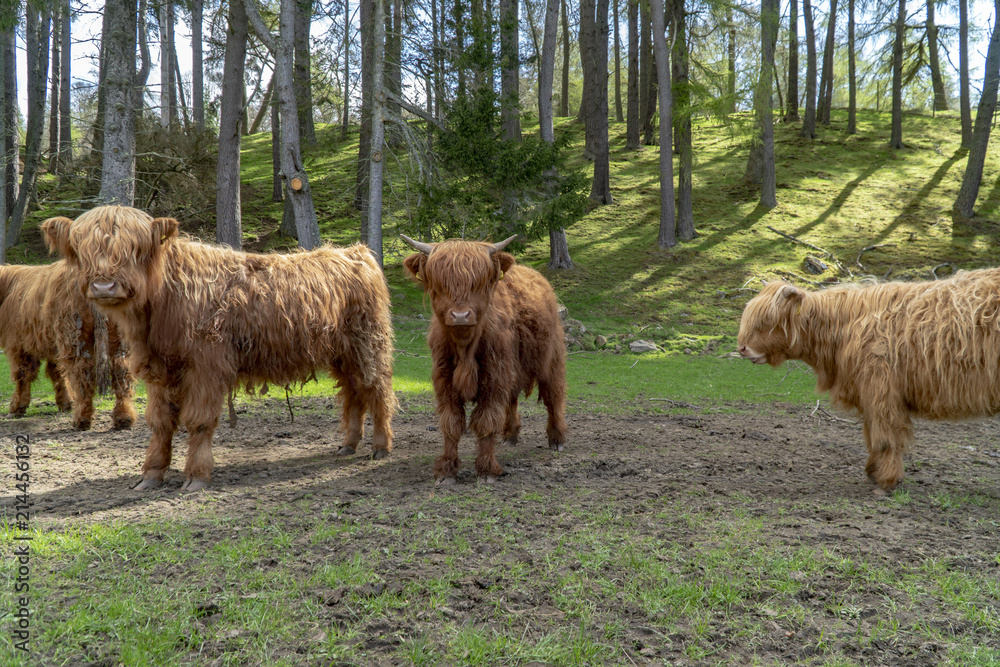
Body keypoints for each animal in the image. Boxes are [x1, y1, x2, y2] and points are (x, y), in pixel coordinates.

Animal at [0, 262, 136, 430]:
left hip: (74, 337)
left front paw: (17, 408)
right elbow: (58, 373)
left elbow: (22, 376)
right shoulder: (53, 349)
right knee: (121, 372)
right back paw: (124, 418)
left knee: (83, 373)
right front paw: (65, 403)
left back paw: (82, 419)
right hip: (119, 339)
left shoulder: (18, 346)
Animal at [43, 205, 397, 492]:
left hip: (368, 344)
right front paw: (151, 475)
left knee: (376, 389)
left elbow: (198, 421)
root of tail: (356, 252)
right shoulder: (158, 370)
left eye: (135, 249)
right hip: (342, 354)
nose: (104, 285)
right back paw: (348, 444)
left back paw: (381, 447)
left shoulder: (206, 366)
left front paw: (197, 477)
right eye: (82, 250)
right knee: (353, 393)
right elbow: (160, 422)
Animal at [401, 234, 567, 484]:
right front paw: (447, 471)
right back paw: (510, 435)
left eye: (478, 283)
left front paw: (487, 471)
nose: (460, 315)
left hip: (551, 359)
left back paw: (557, 440)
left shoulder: (494, 378)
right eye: (440, 283)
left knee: (553, 397)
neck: (465, 349)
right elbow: (451, 423)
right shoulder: (444, 380)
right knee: (512, 399)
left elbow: (486, 421)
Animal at [737, 272, 1000, 492]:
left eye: (765, 321)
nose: (741, 348)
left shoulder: (881, 391)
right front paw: (873, 471)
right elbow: (871, 435)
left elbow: (884, 437)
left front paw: (886, 481)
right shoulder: (869, 394)